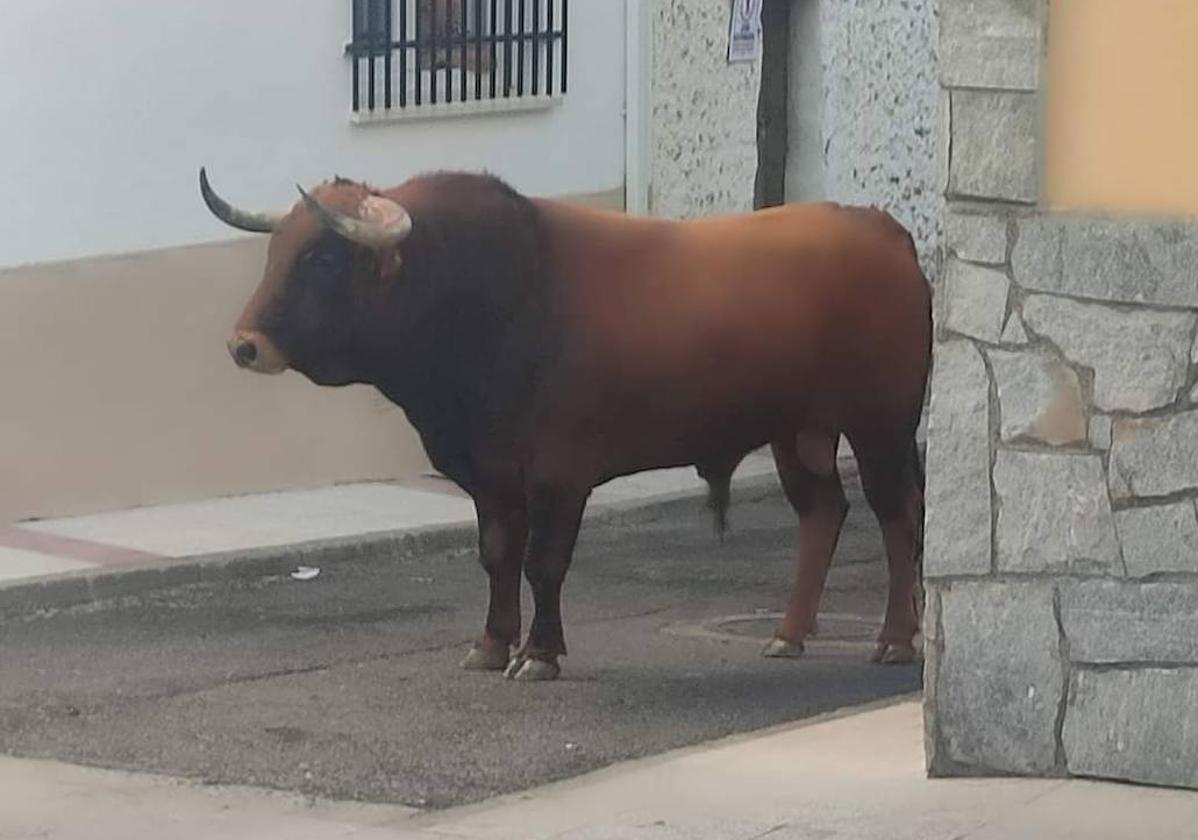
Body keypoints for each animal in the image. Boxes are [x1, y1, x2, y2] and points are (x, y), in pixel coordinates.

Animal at [196, 166, 929, 680]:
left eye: (321, 259)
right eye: (276, 250)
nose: (243, 344)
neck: (498, 296)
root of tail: (883, 230)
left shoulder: (559, 475)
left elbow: (543, 563)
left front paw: (540, 652)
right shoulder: (489, 476)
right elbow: (497, 556)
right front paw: (492, 643)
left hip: (882, 428)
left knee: (898, 516)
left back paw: (896, 639)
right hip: (797, 431)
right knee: (824, 512)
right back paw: (789, 633)